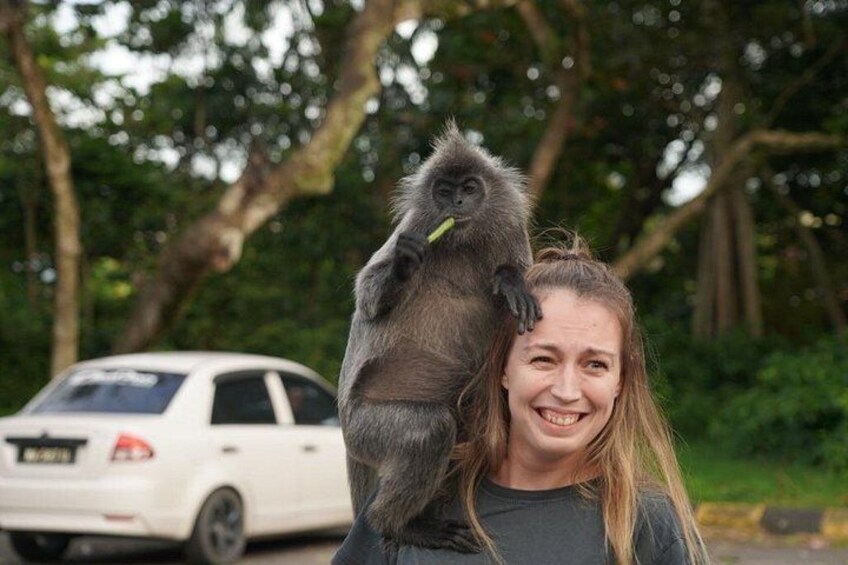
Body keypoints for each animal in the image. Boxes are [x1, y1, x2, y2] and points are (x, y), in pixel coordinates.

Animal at [337, 121, 541, 552]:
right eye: (444, 191)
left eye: (469, 188)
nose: (456, 203)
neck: (462, 241)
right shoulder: (416, 226)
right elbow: (367, 298)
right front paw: (403, 266)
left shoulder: (510, 233)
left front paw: (509, 281)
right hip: (366, 428)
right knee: (428, 431)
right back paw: (400, 525)